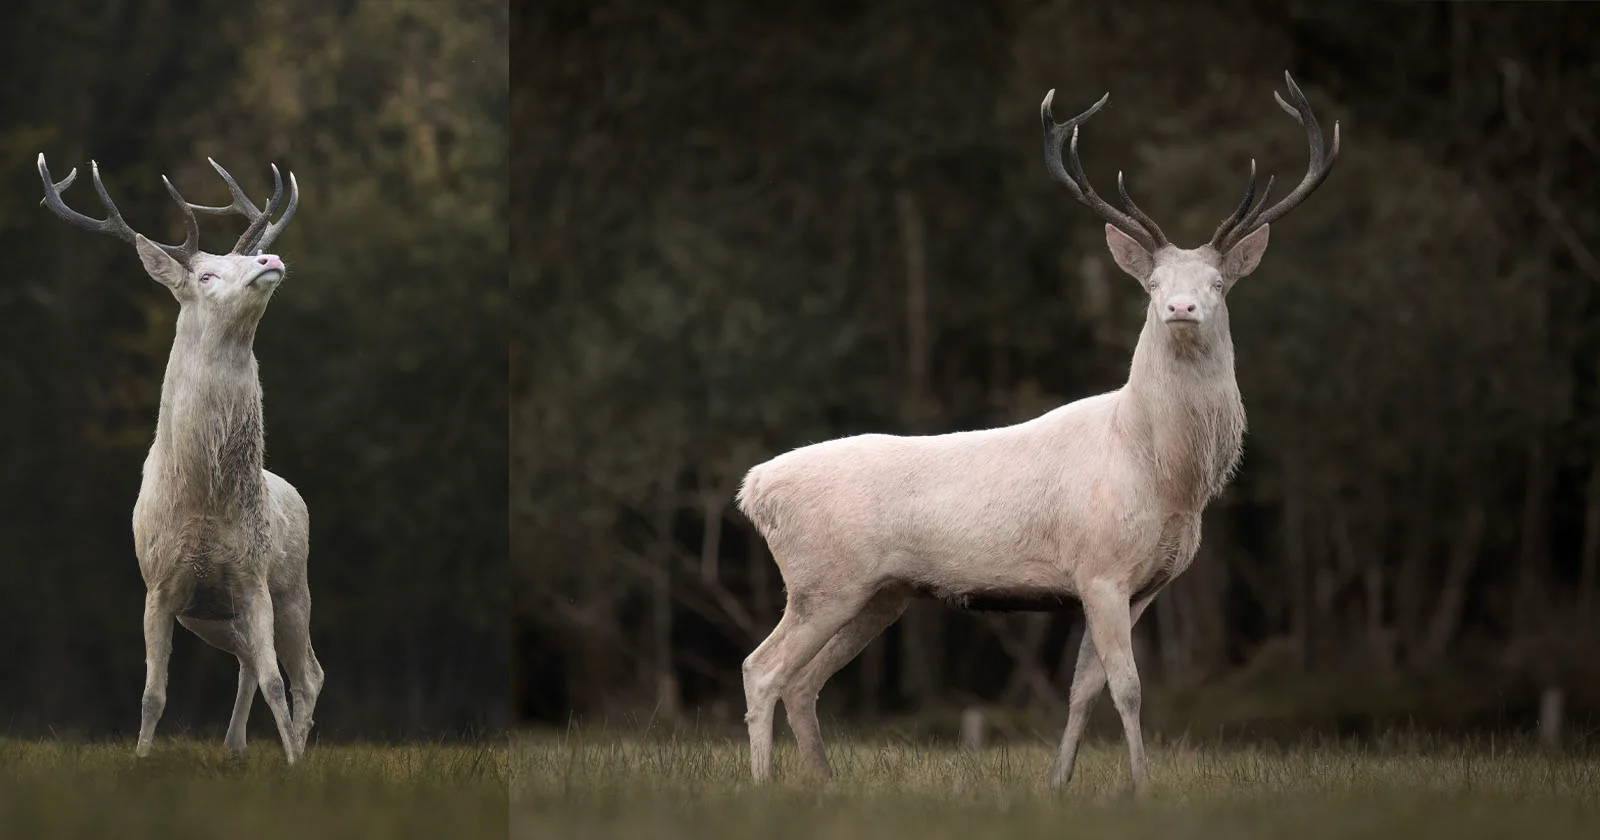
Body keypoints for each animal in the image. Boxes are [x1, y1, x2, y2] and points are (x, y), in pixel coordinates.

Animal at [38, 153, 323, 765]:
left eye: (244, 258)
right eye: (206, 274)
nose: (269, 257)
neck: (202, 502)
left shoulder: (252, 575)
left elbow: (276, 682)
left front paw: (292, 764)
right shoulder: (160, 584)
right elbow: (152, 693)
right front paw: (141, 759)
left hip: (293, 584)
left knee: (305, 673)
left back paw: (295, 748)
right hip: (209, 616)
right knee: (247, 660)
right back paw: (235, 747)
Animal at [735, 72, 1339, 791]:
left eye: (1218, 282)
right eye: (1152, 283)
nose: (1181, 308)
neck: (1167, 475)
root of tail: (754, 490)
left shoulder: (1141, 584)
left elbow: (1085, 689)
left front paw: (1060, 782)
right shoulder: (1099, 567)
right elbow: (1128, 687)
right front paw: (1140, 786)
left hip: (880, 593)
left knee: (804, 682)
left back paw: (824, 783)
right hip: (822, 579)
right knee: (762, 668)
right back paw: (762, 784)